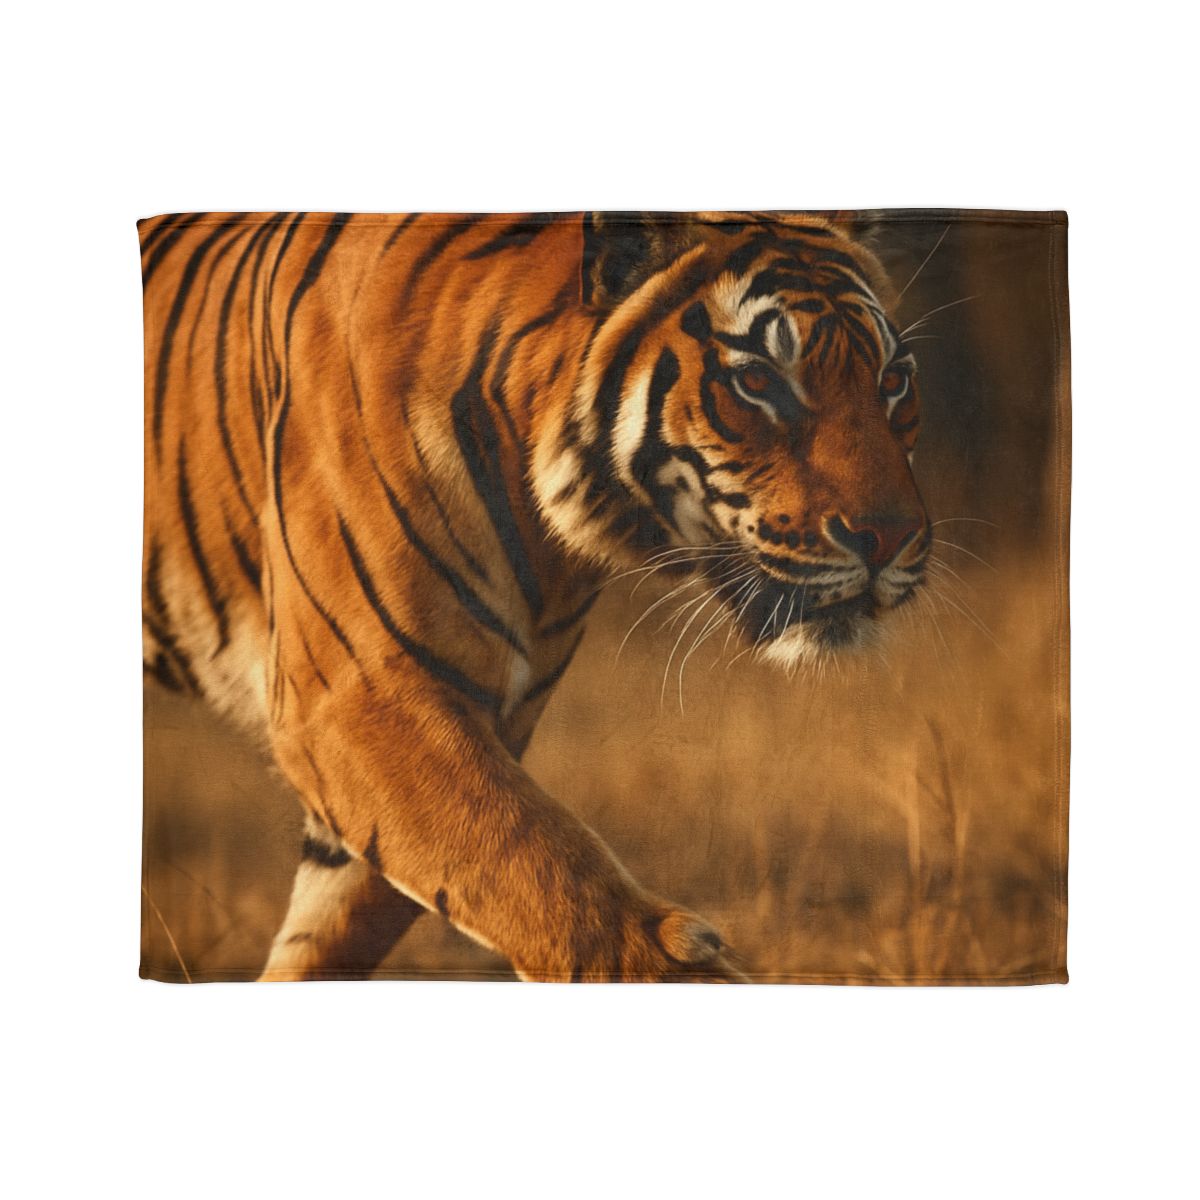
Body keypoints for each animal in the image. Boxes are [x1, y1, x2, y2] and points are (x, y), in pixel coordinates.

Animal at [141, 210, 930, 982]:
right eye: (759, 381)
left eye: (893, 380)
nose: (892, 539)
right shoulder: (356, 695)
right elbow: (551, 880)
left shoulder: (464, 717)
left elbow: (330, 935)